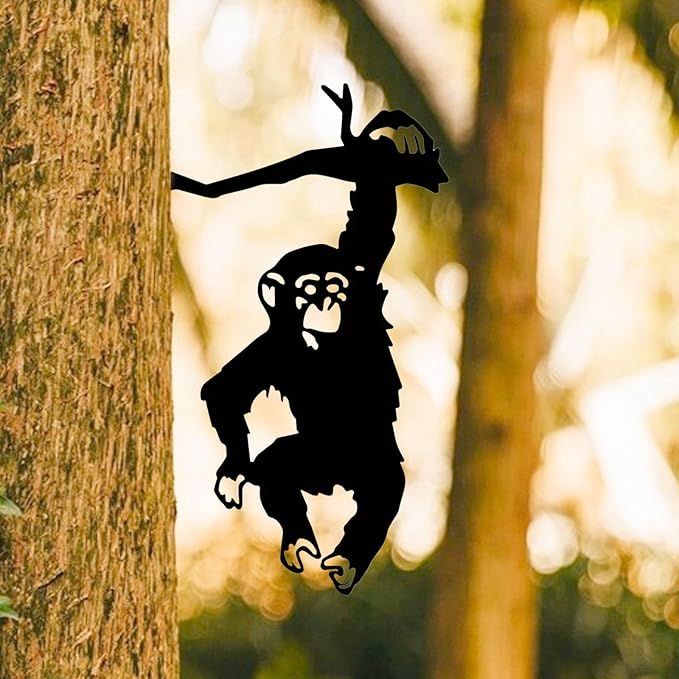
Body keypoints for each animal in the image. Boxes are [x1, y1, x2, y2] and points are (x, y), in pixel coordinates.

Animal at [171, 84, 447, 594]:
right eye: (307, 290)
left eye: (334, 287)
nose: (324, 304)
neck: (322, 346)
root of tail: (335, 481)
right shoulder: (274, 345)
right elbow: (225, 390)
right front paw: (234, 470)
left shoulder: (363, 289)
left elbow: (372, 217)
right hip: (312, 459)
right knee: (277, 469)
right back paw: (300, 539)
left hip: (370, 458)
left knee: (381, 493)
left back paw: (347, 560)